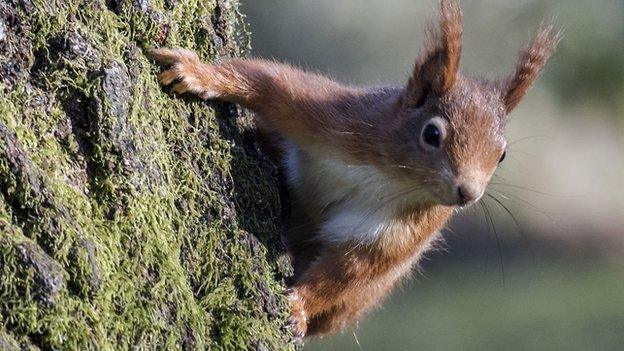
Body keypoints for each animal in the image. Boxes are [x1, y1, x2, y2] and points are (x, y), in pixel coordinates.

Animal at [154, 0, 560, 340]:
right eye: (432, 134)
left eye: (502, 155)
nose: (468, 193)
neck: (392, 177)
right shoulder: (336, 117)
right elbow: (267, 82)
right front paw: (198, 74)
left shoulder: (398, 233)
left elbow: (347, 273)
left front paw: (297, 307)